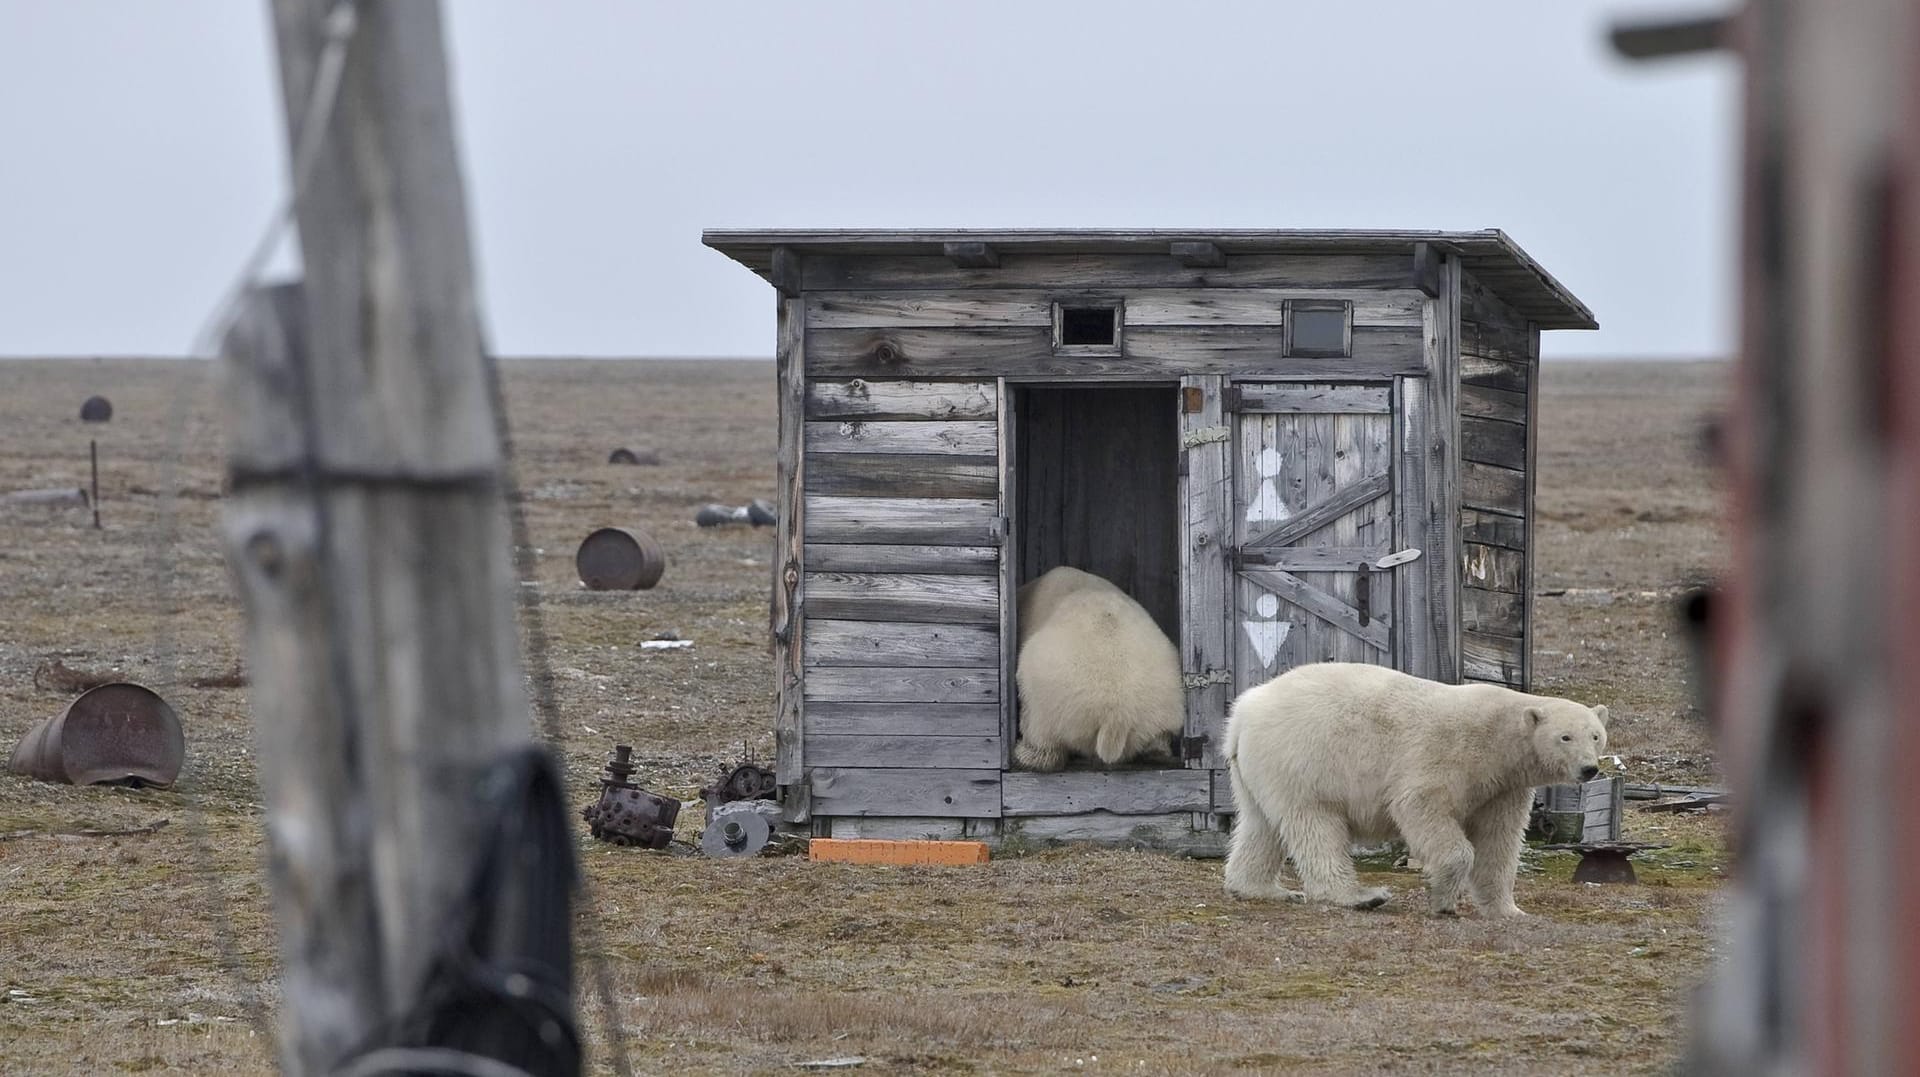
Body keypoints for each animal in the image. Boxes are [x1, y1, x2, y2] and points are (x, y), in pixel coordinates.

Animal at [1006, 568, 1182, 767]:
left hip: (1053, 692)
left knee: (1038, 722)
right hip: (1164, 695)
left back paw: (1025, 754)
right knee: (1160, 733)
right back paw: (1157, 751)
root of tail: (1117, 714)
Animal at [1221, 664, 1612, 913]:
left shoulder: (1503, 785)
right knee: (1315, 825)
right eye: (1565, 737)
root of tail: (1243, 711)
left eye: (1595, 735)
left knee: (1260, 825)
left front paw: (1509, 910)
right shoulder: (1449, 752)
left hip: (1258, 770)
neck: (1499, 736)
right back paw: (1360, 896)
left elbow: (1498, 839)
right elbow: (1420, 805)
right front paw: (1442, 900)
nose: (1589, 768)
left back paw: (1263, 889)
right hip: (1303, 759)